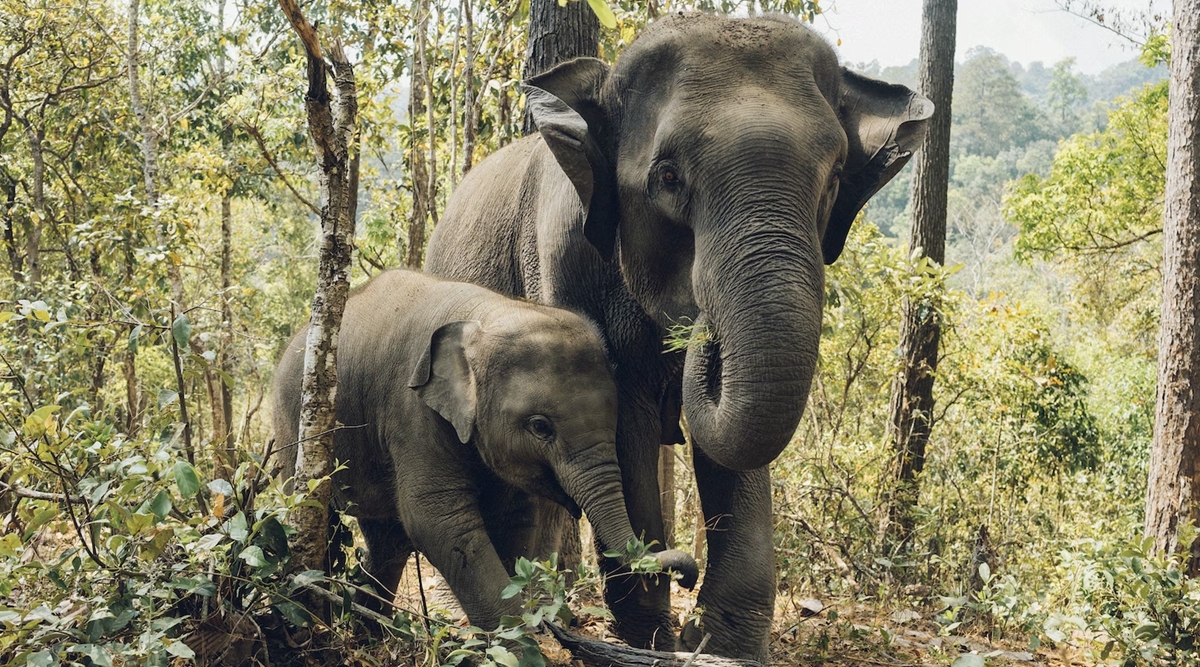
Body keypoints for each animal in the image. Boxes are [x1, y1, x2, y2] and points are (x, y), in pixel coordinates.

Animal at [272, 269, 698, 634]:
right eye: (540, 426)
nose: (687, 577)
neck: (485, 314)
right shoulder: (412, 410)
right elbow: (437, 519)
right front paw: (521, 640)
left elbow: (514, 519)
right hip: (294, 427)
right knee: (318, 517)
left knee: (388, 540)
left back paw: (371, 633)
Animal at [424, 12, 932, 660]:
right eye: (667, 177)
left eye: (836, 178)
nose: (701, 329)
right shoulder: (564, 262)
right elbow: (625, 422)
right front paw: (655, 640)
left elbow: (734, 445)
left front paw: (723, 646)